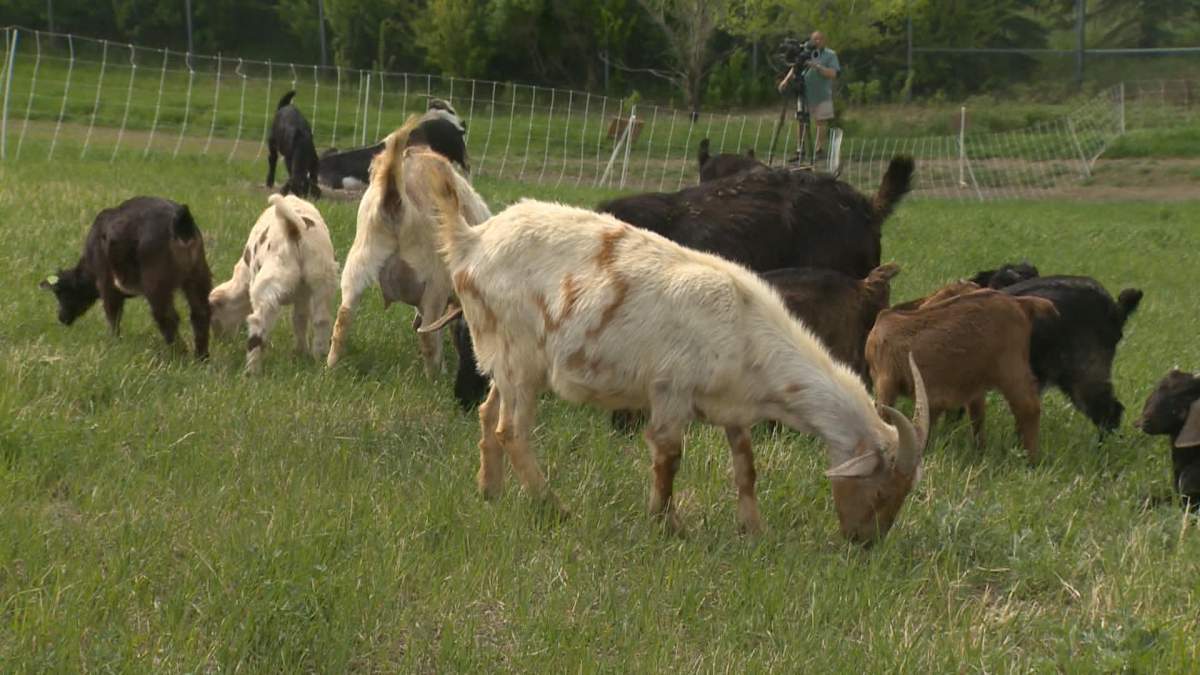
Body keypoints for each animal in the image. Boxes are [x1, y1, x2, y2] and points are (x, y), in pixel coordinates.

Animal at [41, 196, 212, 359]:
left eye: (62, 293)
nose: (61, 318)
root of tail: (181, 222)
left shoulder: (106, 284)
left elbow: (113, 315)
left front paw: (114, 343)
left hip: (156, 282)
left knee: (167, 316)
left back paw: (179, 355)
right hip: (198, 274)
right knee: (200, 313)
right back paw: (201, 357)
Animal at [209, 195, 339, 373]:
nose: (220, 341)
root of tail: (293, 227)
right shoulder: (303, 296)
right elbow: (299, 320)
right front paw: (301, 352)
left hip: (267, 286)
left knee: (258, 326)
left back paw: (252, 371)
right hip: (322, 279)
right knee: (322, 321)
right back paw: (320, 361)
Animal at [326, 116, 491, 377]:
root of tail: (394, 197)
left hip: (359, 263)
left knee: (343, 318)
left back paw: (331, 366)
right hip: (434, 279)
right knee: (428, 337)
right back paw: (434, 377)